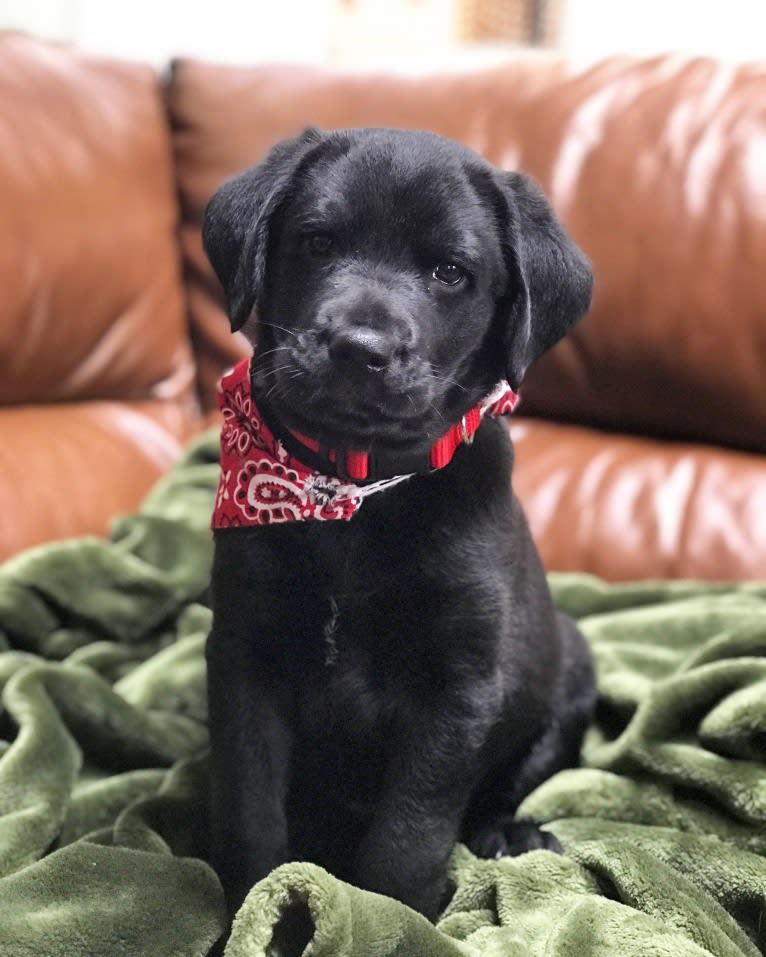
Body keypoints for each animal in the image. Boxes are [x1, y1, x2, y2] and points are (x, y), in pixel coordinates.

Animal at [201, 127, 596, 920]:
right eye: (317, 241)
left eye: (450, 272)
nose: (361, 347)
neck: (353, 492)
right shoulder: (242, 654)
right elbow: (251, 808)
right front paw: (250, 908)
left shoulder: (459, 687)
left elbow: (407, 833)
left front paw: (393, 918)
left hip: (569, 673)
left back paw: (511, 835)